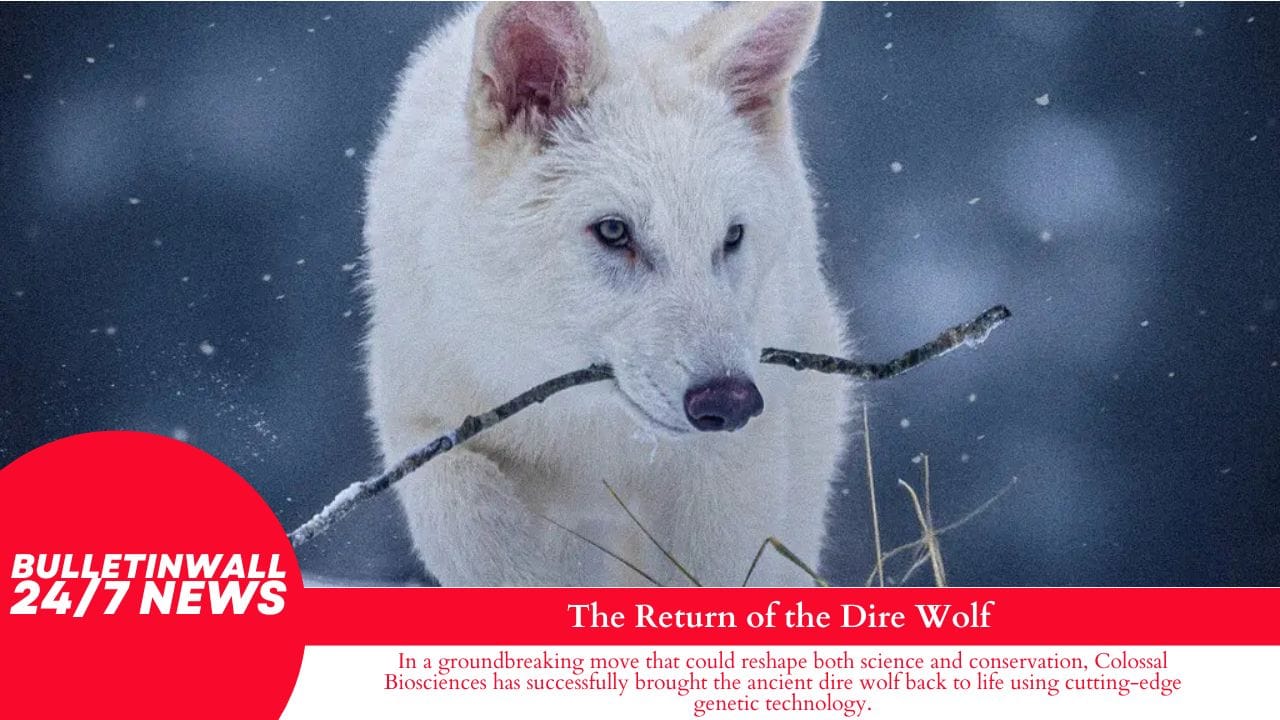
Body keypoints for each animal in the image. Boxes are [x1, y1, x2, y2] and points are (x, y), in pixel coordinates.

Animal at [363, 1, 851, 586]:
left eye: (731, 237)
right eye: (614, 231)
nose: (729, 402)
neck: (587, 426)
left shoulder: (728, 472)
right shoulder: (423, 419)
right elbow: (480, 533)